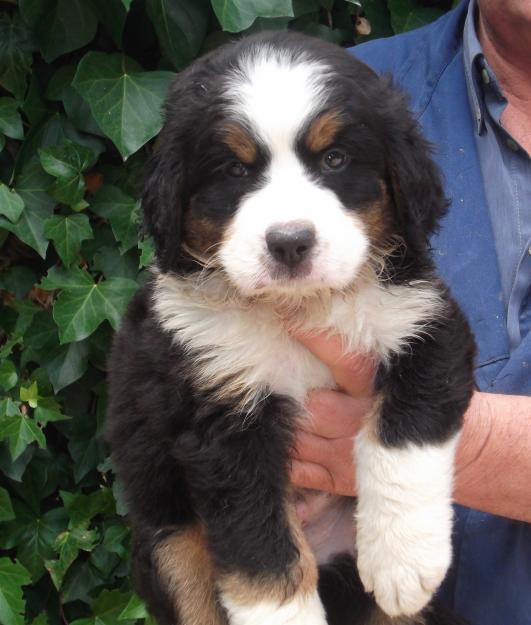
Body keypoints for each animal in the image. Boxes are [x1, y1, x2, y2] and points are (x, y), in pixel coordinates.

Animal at [106, 31, 476, 624]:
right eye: (235, 171)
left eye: (335, 159)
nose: (289, 242)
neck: (300, 306)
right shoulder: (220, 413)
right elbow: (262, 549)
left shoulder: (425, 323)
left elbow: (407, 434)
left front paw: (403, 558)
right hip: (169, 540)